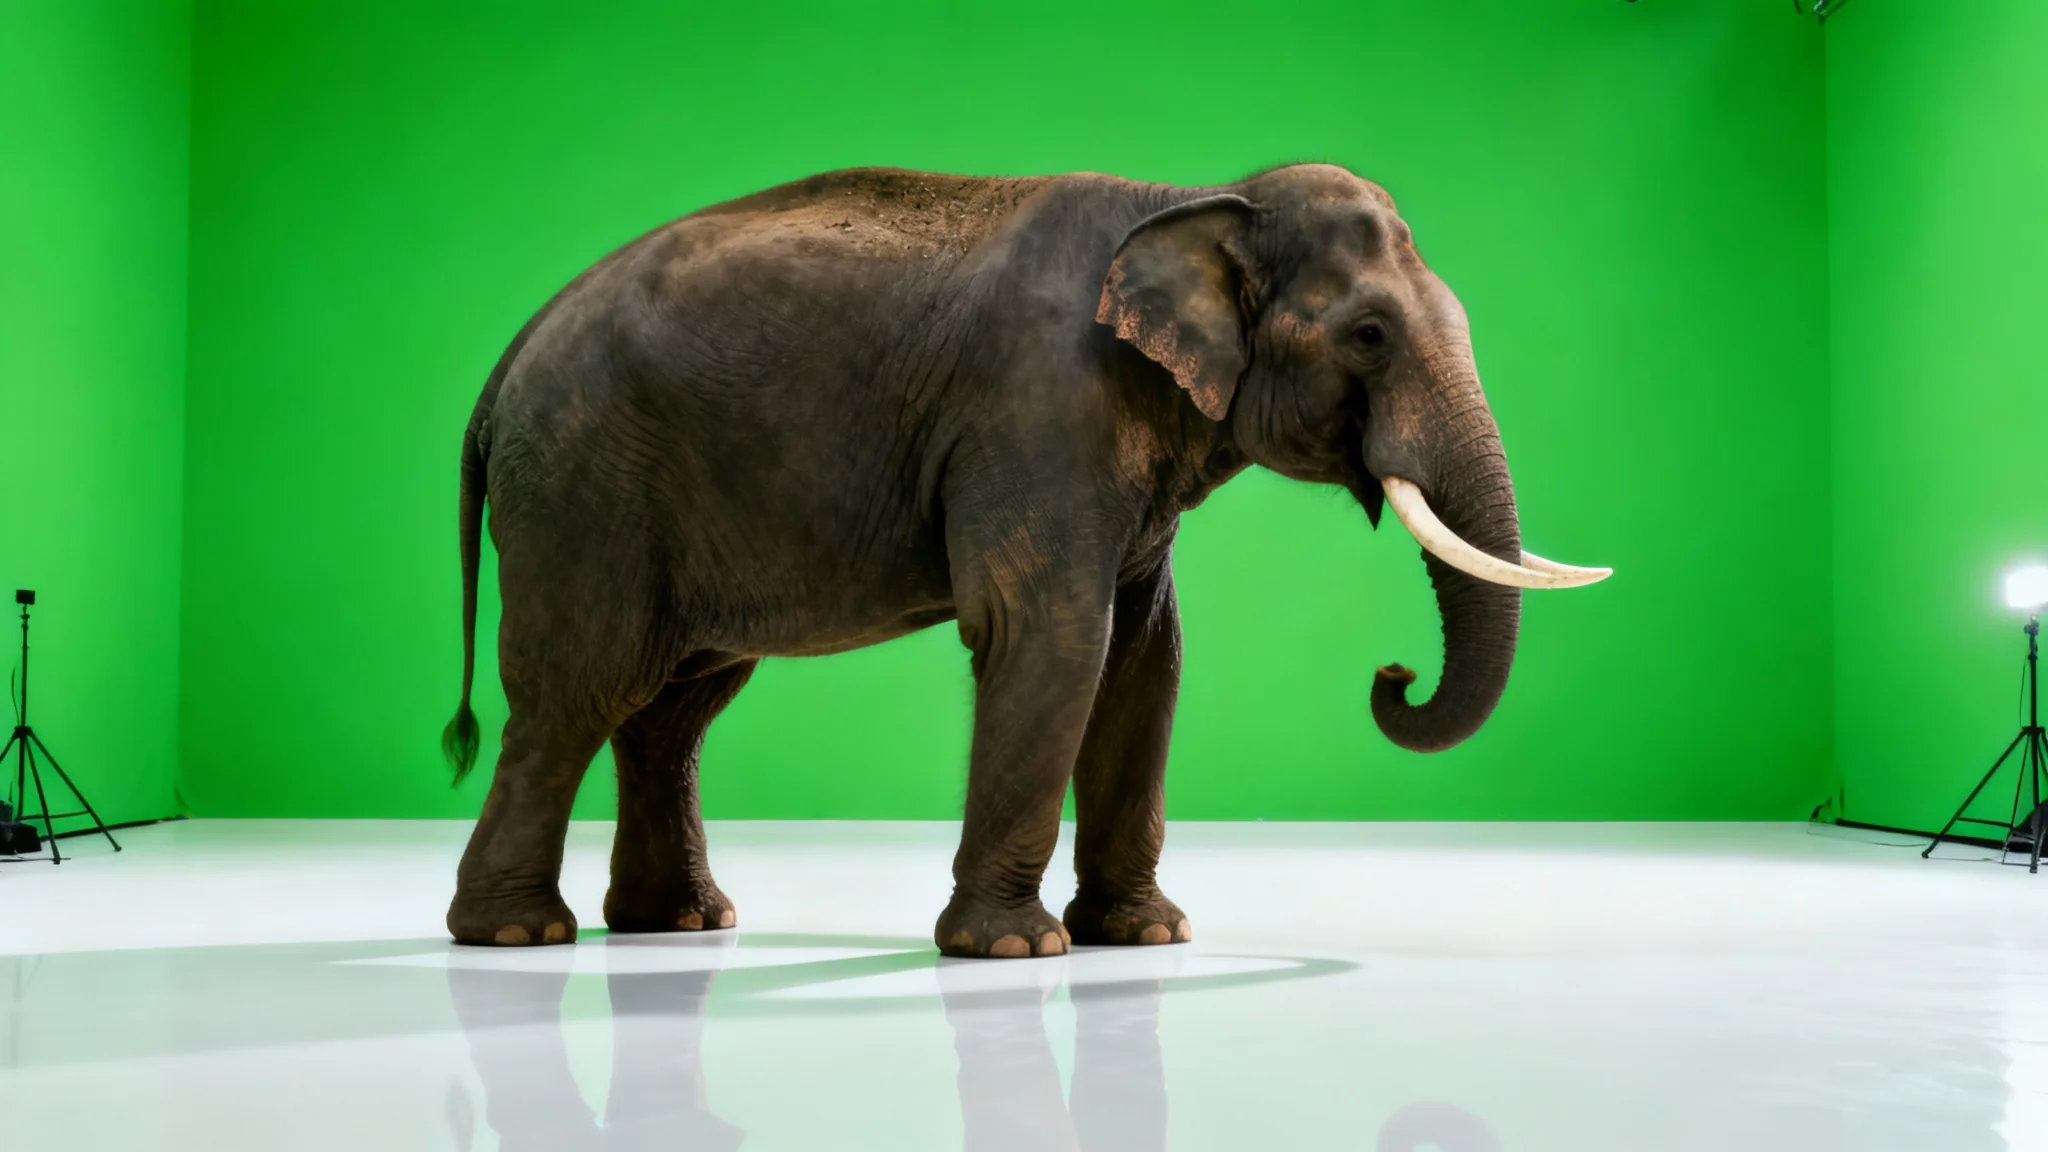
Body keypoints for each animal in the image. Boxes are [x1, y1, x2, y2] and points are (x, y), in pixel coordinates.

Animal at [439, 162, 1608, 958]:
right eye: (1367, 335)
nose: (1390, 674)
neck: (1198, 199)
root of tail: (503, 368)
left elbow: (1145, 659)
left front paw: (1146, 937)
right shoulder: (1040, 411)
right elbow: (1051, 637)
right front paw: (1013, 949)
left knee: (671, 707)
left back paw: (676, 924)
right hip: (584, 492)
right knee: (578, 690)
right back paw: (517, 936)